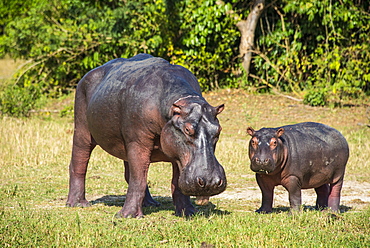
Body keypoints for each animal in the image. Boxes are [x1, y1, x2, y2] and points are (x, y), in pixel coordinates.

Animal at [68, 53, 227, 217]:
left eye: (218, 129)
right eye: (188, 129)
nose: (210, 181)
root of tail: (86, 76)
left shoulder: (175, 150)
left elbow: (174, 184)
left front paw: (188, 212)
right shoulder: (138, 141)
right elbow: (138, 179)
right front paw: (127, 216)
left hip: (126, 144)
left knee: (131, 172)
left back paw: (151, 203)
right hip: (82, 130)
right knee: (79, 162)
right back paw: (78, 204)